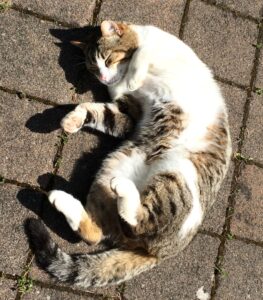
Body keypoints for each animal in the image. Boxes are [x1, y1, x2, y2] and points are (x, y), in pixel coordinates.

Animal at [25, 19, 232, 288]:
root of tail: (160, 253)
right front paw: (72, 120)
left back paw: (119, 190)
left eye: (108, 58)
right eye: (93, 69)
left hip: (177, 177)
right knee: (101, 232)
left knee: (137, 222)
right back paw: (63, 199)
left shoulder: (163, 47)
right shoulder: (127, 113)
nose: (104, 78)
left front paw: (135, 73)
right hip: (115, 164)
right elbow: (95, 110)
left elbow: (141, 52)